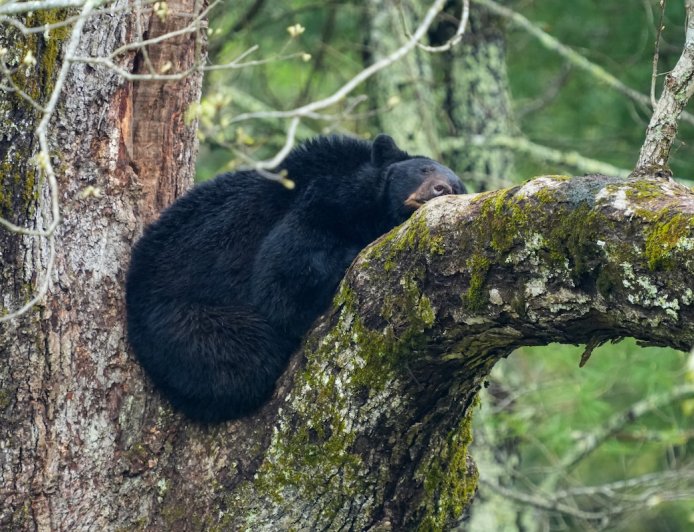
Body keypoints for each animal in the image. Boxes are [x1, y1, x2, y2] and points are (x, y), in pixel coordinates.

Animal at [125, 134, 466, 422]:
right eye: (423, 169)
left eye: (458, 186)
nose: (442, 188)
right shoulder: (324, 201)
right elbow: (284, 277)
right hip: (185, 320)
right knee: (248, 356)